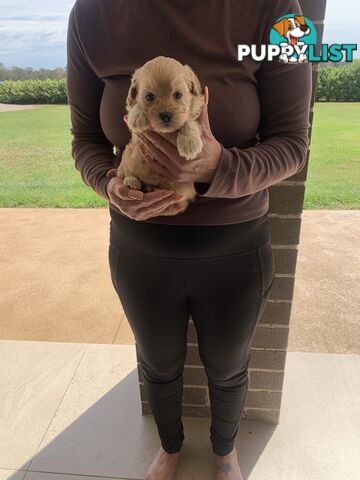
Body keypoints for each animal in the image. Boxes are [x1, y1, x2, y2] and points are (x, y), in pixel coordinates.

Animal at [105, 55, 204, 215]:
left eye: (178, 95)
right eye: (149, 97)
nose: (165, 115)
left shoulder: (196, 108)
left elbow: (189, 120)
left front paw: (190, 144)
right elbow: (134, 106)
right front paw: (137, 117)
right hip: (128, 156)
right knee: (123, 172)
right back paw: (131, 181)